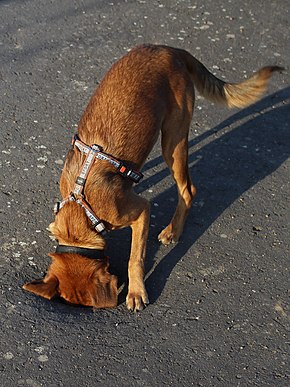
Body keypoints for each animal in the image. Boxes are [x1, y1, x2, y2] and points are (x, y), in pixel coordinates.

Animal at [23, 45, 284, 312]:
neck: (80, 208)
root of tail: (171, 50)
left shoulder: (140, 212)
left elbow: (135, 258)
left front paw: (136, 292)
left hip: (173, 139)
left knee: (188, 189)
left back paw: (173, 231)